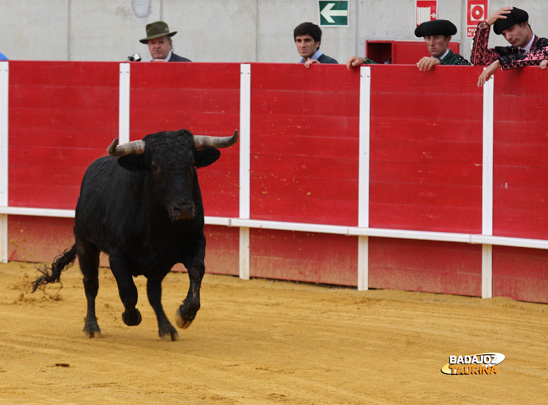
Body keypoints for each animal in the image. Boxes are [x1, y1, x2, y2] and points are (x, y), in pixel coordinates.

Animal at [32, 128, 238, 340]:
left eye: (191, 164)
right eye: (154, 167)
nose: (184, 209)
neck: (160, 225)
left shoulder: (195, 242)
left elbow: (196, 272)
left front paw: (185, 315)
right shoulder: (117, 255)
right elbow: (128, 291)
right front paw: (130, 317)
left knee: (153, 293)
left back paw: (167, 328)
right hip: (85, 244)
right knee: (91, 284)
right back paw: (91, 327)